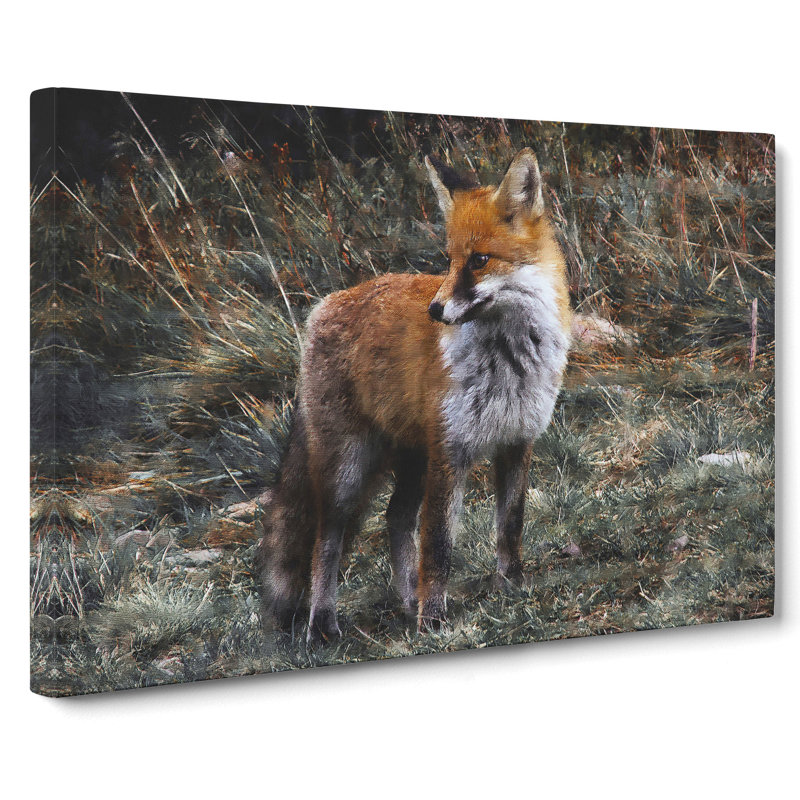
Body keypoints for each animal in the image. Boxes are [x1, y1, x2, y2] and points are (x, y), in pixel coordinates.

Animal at [258, 148, 572, 644]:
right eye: (449, 260)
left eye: (480, 260)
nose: (435, 310)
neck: (508, 360)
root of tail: (326, 304)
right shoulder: (450, 451)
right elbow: (438, 546)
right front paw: (434, 619)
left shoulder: (517, 441)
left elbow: (510, 525)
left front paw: (512, 586)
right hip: (349, 469)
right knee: (325, 541)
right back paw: (323, 623)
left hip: (411, 460)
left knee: (395, 518)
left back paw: (407, 602)